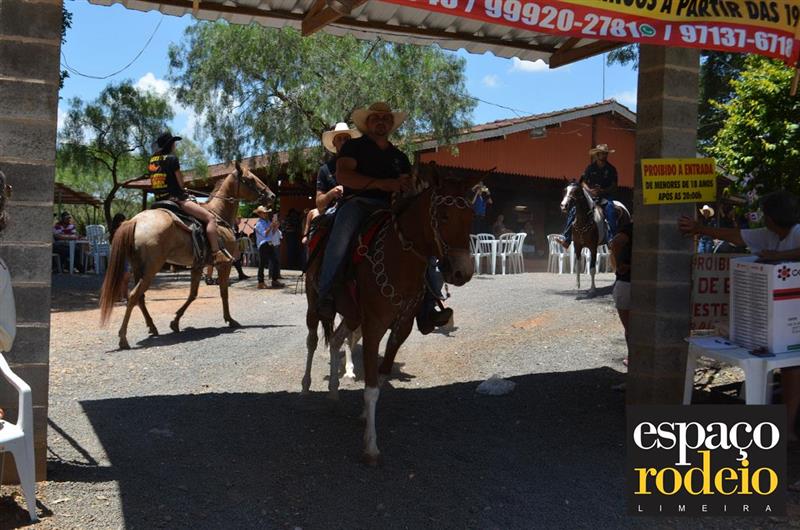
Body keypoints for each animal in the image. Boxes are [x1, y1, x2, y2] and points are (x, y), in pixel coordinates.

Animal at [99, 163, 275, 349]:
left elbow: (193, 294)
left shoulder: (197, 266)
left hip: (138, 267)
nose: (272, 195)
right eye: (250, 179)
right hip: (151, 269)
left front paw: (175, 322)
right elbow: (224, 293)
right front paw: (230, 319)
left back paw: (152, 327)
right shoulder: (224, 265)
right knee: (133, 296)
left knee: (140, 298)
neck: (218, 214)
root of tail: (135, 221)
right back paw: (123, 338)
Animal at [302, 162, 480, 465]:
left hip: (352, 315)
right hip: (314, 304)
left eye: (470, 217)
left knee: (336, 340)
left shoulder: (402, 326)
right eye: (443, 216)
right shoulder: (374, 325)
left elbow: (381, 378)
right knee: (313, 340)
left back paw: (334, 393)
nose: (462, 272)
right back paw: (305, 387)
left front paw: (364, 417)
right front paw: (371, 447)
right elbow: (372, 387)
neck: (399, 258)